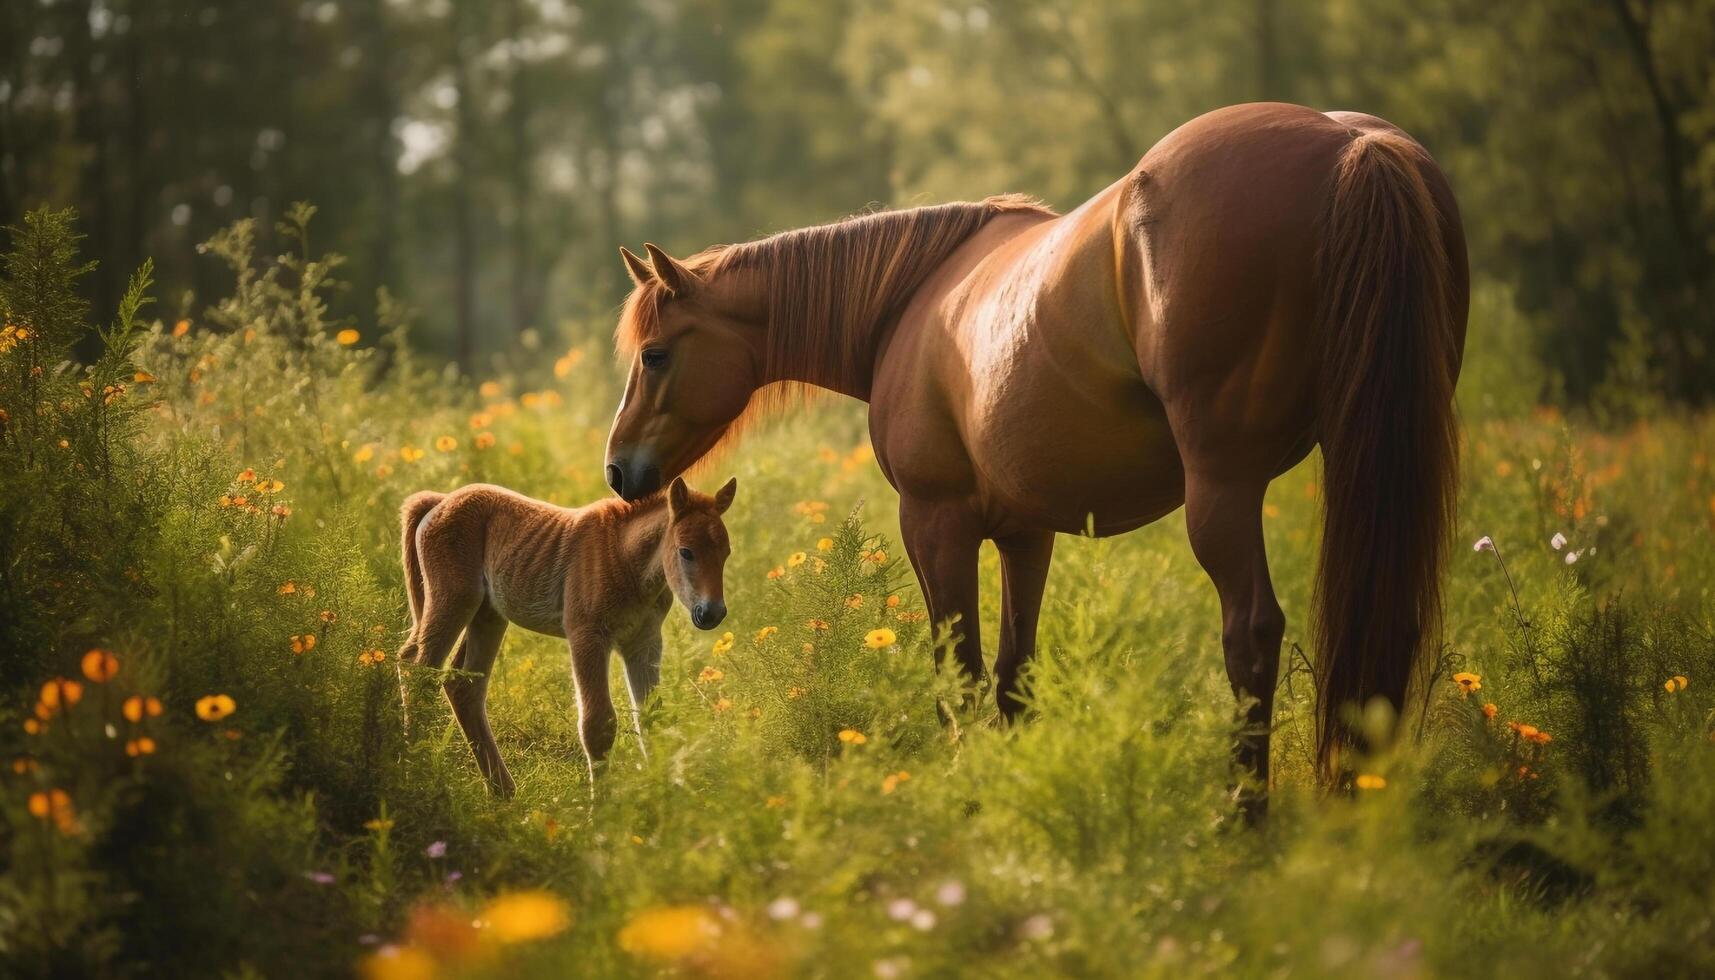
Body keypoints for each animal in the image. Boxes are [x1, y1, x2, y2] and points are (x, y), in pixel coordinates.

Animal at [397, 470, 734, 792]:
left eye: (727, 553)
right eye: (686, 552)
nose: (712, 613)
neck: (623, 558)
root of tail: (440, 501)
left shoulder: (644, 642)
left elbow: (652, 719)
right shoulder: (586, 636)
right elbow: (598, 725)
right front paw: (601, 809)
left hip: (488, 615)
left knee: (460, 685)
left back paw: (502, 791)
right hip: (455, 600)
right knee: (419, 670)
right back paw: (416, 770)